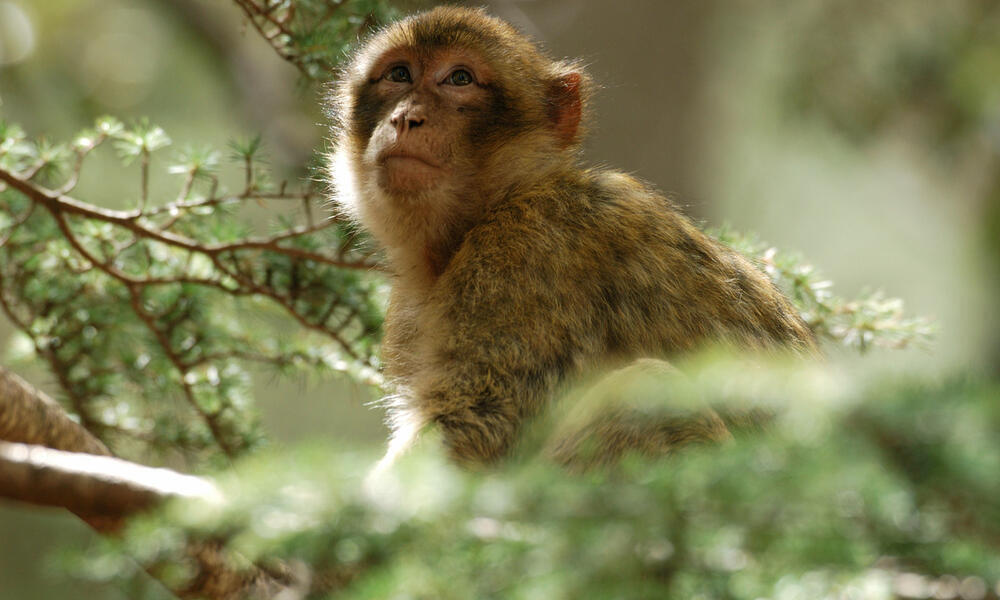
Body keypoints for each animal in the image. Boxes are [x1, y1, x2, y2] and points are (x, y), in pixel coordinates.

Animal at [330, 5, 820, 468]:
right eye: (399, 74)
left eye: (459, 78)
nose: (406, 118)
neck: (499, 201)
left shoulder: (527, 249)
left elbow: (476, 423)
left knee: (643, 389)